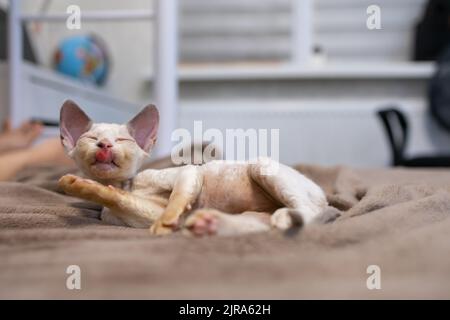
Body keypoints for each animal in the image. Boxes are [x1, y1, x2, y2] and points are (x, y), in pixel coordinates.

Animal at [59, 101, 326, 236]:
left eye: (122, 140)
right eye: (92, 138)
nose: (104, 144)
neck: (127, 184)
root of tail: (323, 194)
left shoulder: (189, 172)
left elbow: (176, 199)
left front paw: (168, 220)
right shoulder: (131, 212)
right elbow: (118, 198)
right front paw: (83, 186)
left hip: (263, 166)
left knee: (310, 212)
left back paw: (286, 217)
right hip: (255, 214)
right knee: (259, 224)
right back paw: (208, 224)